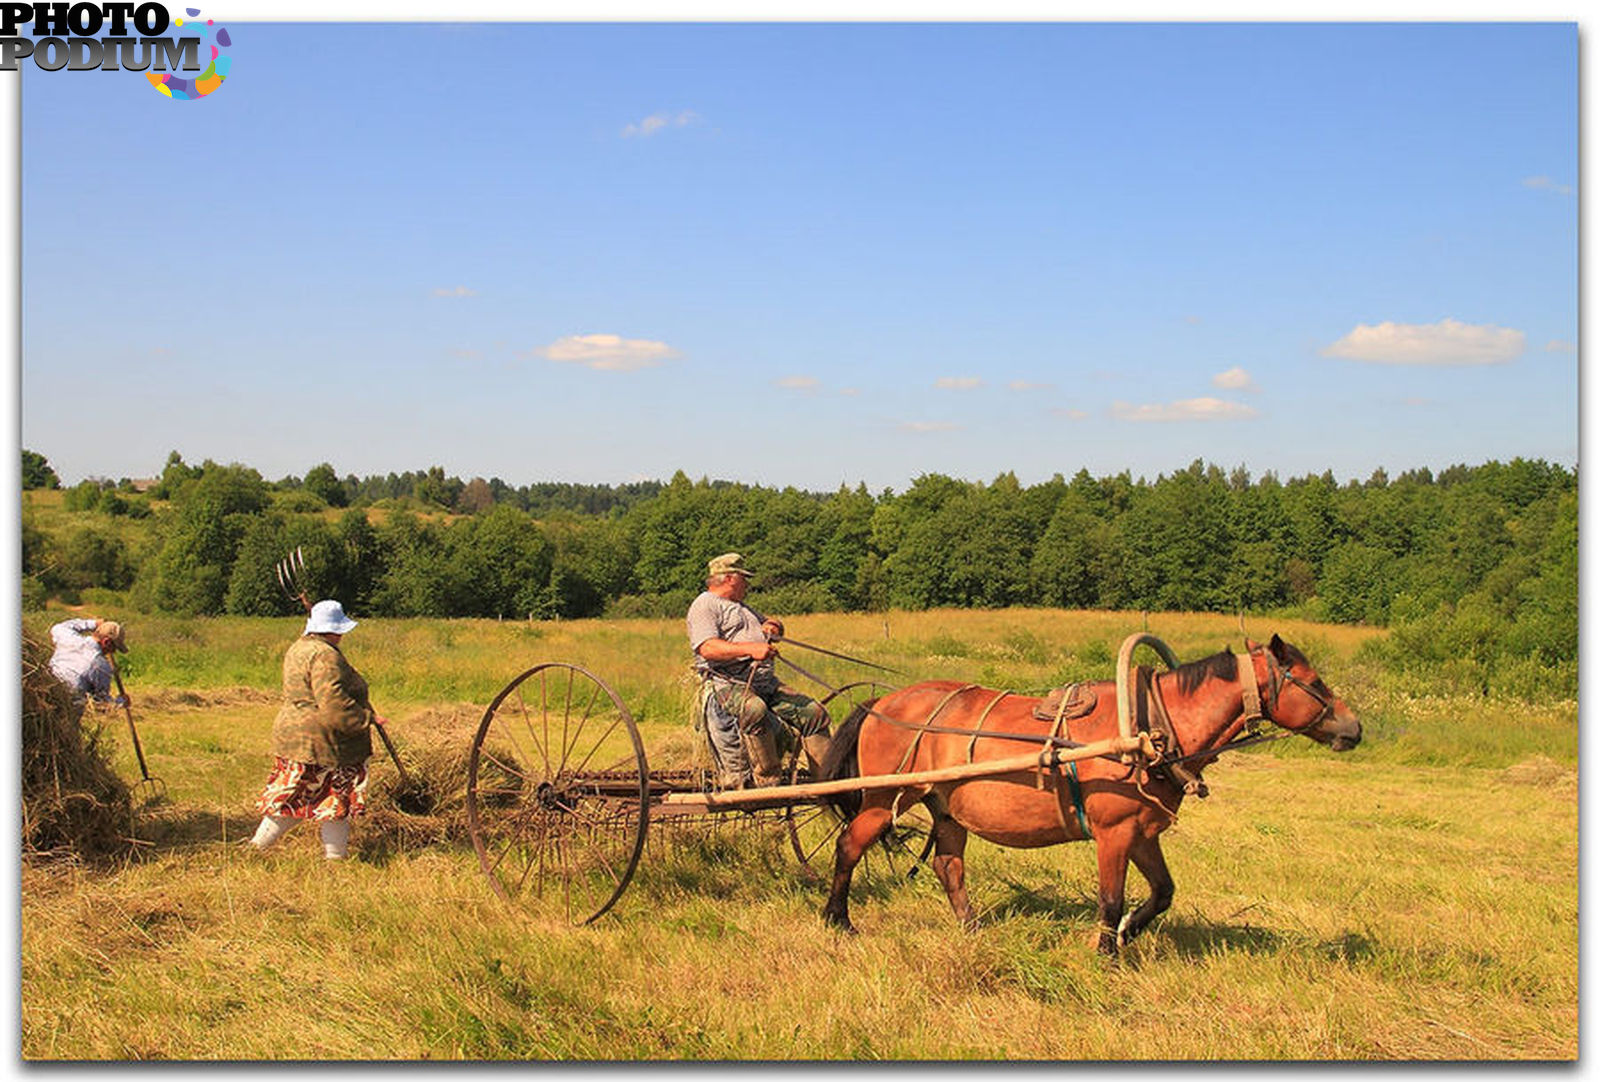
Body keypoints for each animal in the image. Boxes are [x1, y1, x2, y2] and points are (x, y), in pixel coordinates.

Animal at [825, 633, 1363, 953]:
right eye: (1313, 682)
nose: (1354, 728)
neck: (1149, 726)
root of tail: (880, 704)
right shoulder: (1114, 833)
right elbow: (1110, 898)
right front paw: (1107, 954)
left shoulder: (1143, 834)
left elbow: (1162, 893)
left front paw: (1127, 935)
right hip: (884, 799)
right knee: (849, 846)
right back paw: (838, 920)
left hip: (947, 809)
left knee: (947, 865)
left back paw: (972, 927)